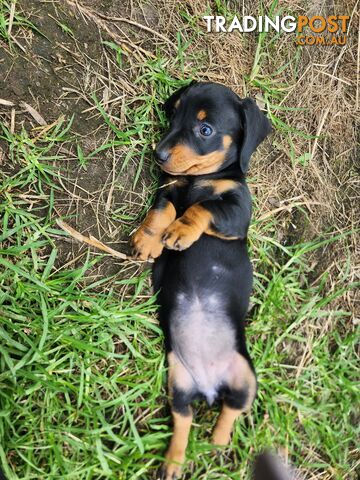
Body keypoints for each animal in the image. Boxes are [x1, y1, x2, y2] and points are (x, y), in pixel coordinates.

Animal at [131, 80, 270, 478]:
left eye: (205, 130)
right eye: (174, 115)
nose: (159, 155)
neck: (200, 177)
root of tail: (209, 387)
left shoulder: (235, 212)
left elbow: (200, 208)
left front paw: (179, 232)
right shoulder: (169, 188)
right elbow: (162, 209)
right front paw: (149, 239)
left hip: (246, 377)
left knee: (233, 408)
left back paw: (218, 441)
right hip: (178, 382)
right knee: (184, 419)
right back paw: (174, 462)